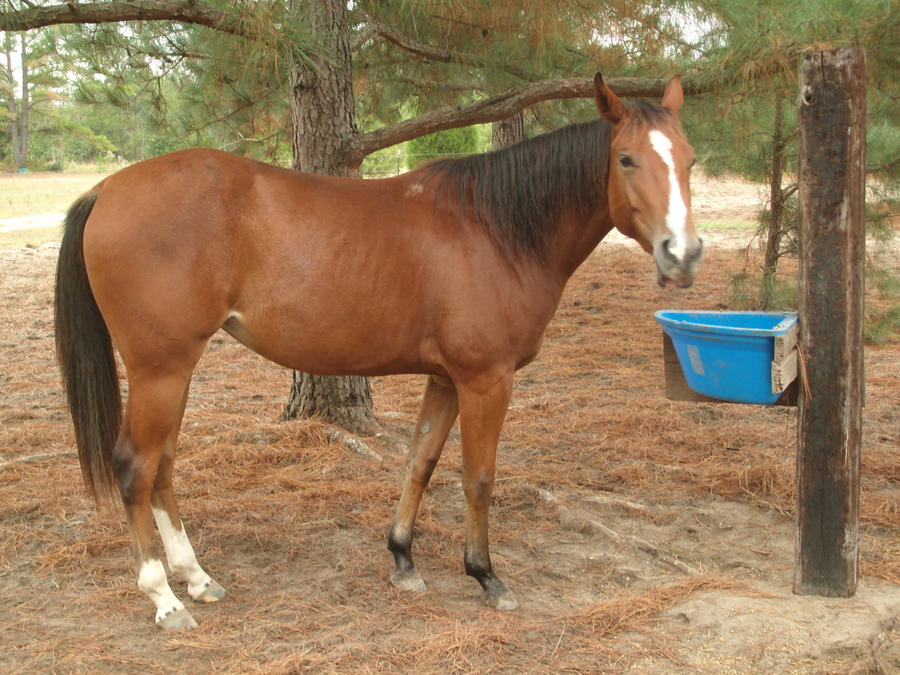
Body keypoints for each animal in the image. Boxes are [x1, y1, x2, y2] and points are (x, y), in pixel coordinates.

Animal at [54, 72, 704, 628]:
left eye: (690, 159)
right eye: (626, 159)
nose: (684, 254)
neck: (494, 229)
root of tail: (108, 188)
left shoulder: (445, 379)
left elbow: (420, 463)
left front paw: (403, 560)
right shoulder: (485, 379)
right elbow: (478, 477)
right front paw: (485, 575)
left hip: (176, 371)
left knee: (162, 465)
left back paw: (196, 577)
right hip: (160, 369)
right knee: (135, 466)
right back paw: (163, 598)